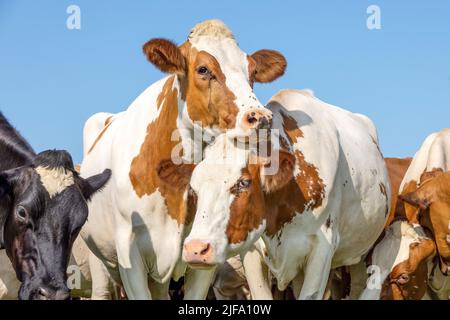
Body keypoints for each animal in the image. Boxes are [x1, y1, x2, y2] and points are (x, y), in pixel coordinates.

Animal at [79, 20, 286, 300]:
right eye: (203, 69)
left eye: (252, 71)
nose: (261, 118)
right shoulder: (129, 254)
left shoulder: (202, 254)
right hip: (99, 262)